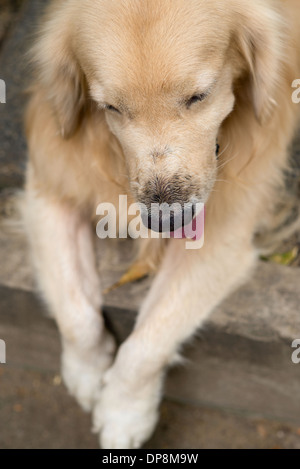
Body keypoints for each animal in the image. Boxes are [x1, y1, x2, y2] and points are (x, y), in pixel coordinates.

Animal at [24, 0, 300, 448]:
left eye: (199, 96)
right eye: (111, 108)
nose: (165, 220)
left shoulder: (222, 233)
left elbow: (149, 341)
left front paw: (123, 412)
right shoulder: (50, 183)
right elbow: (75, 311)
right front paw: (87, 371)